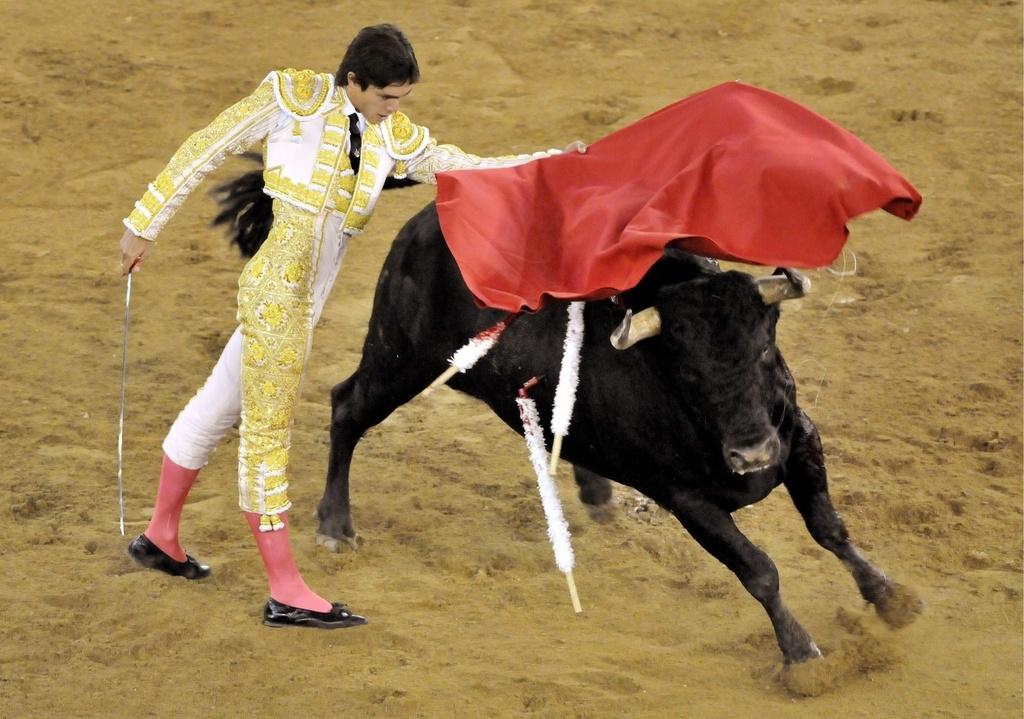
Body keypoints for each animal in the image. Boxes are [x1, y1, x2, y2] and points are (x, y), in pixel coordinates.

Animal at [311, 201, 921, 663]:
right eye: (688, 373)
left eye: (765, 350)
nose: (752, 455)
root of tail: (425, 221)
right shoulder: (687, 499)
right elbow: (760, 570)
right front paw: (800, 654)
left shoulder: (800, 440)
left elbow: (829, 529)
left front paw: (891, 598)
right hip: (400, 358)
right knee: (346, 407)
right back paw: (336, 527)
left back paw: (597, 492)